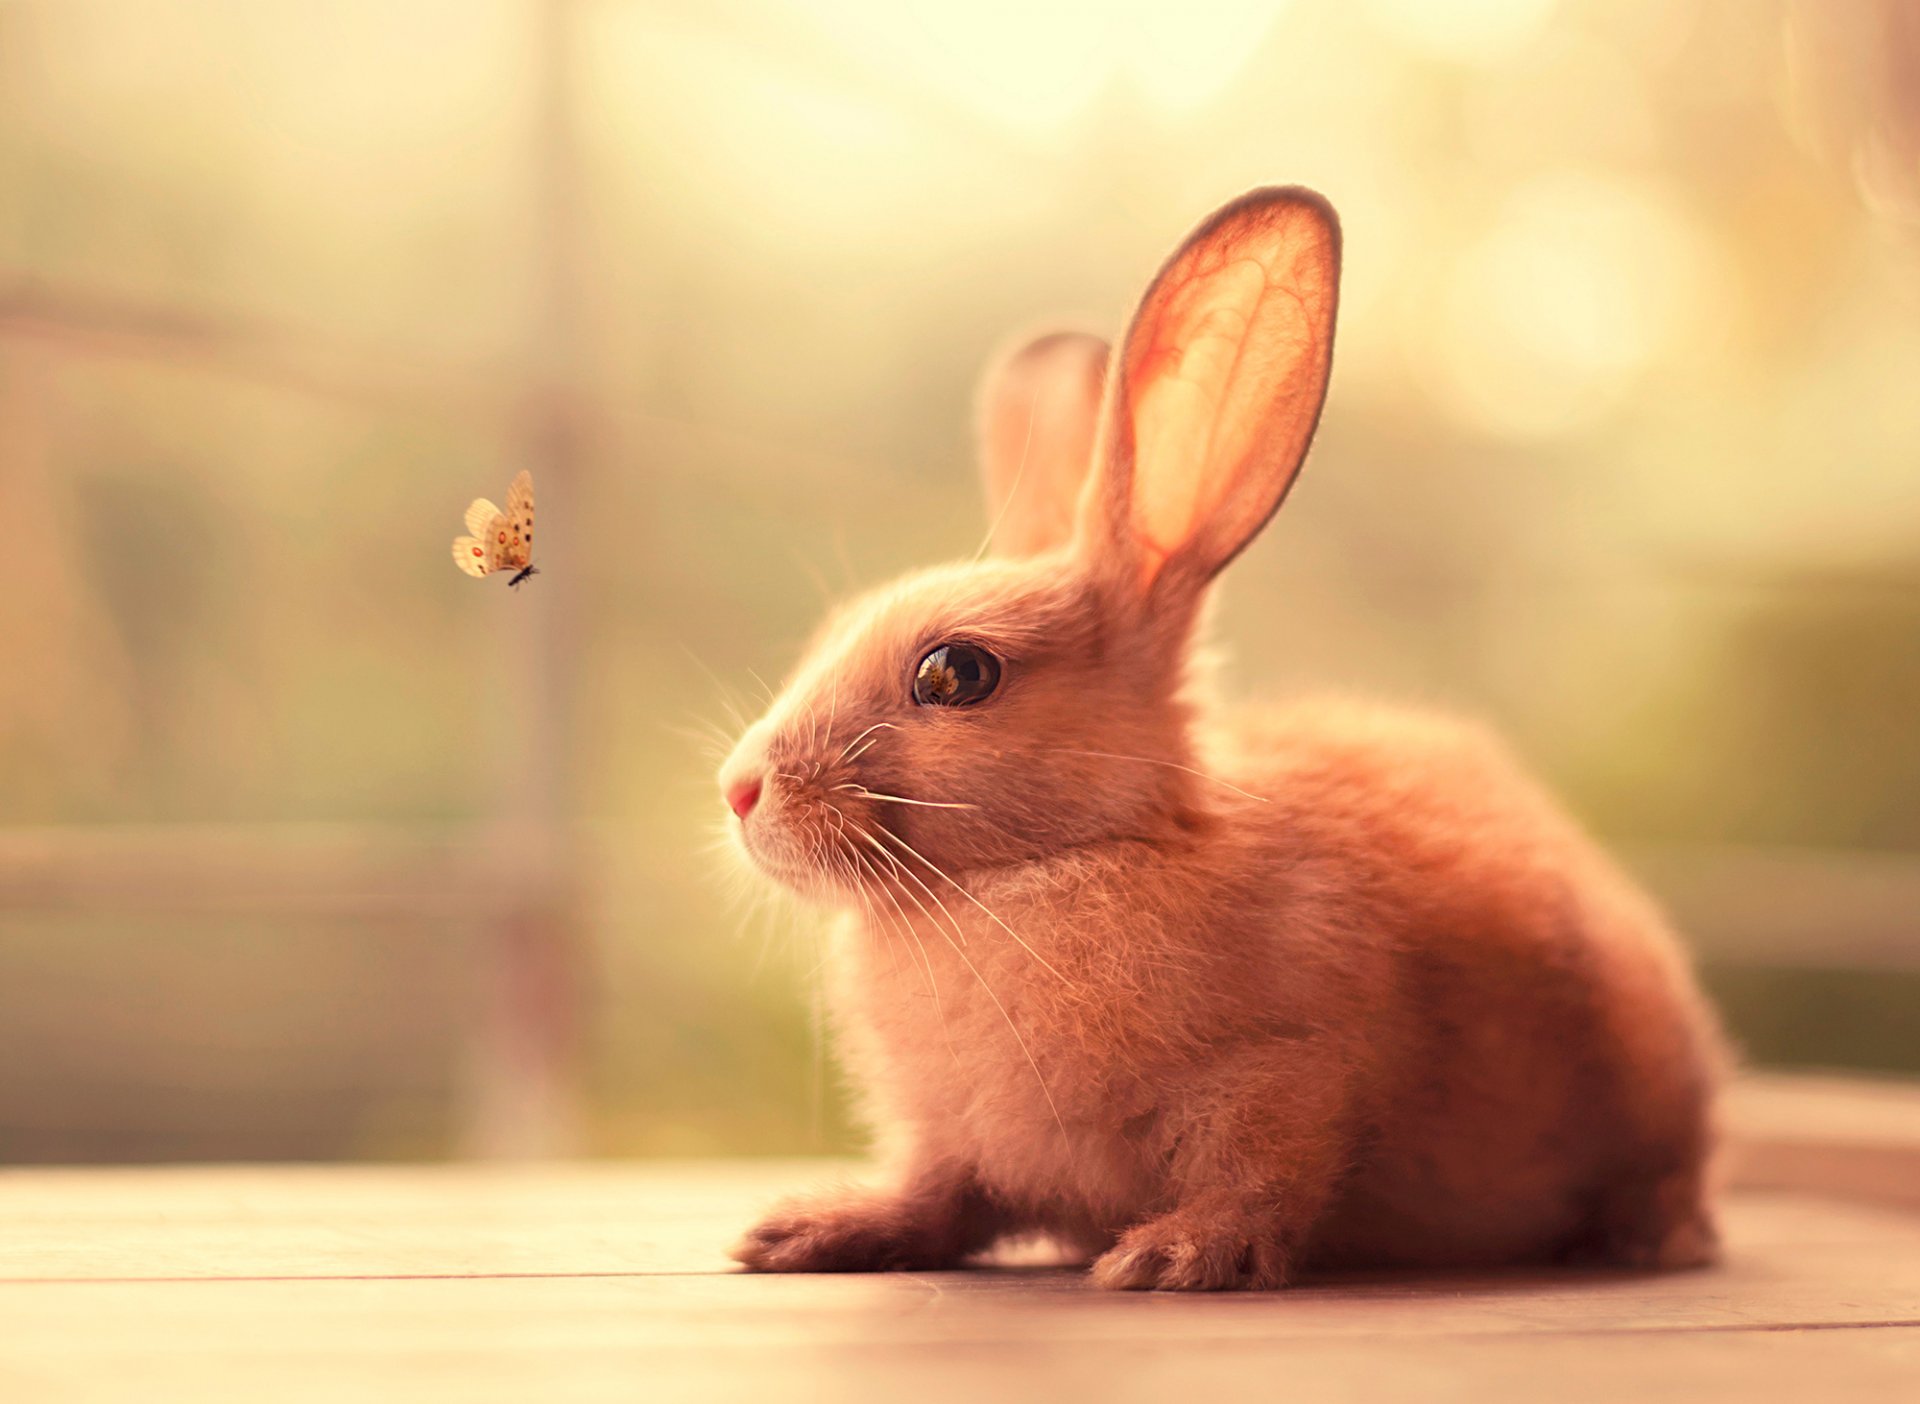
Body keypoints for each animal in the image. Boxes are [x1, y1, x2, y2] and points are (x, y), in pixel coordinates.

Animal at [716, 187, 1725, 1291]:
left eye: (956, 673)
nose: (740, 790)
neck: (1049, 866)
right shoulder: (952, 1144)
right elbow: (936, 1199)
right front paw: (808, 1232)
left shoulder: (1286, 1077)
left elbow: (1259, 1181)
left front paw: (1170, 1256)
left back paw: (1653, 1239)